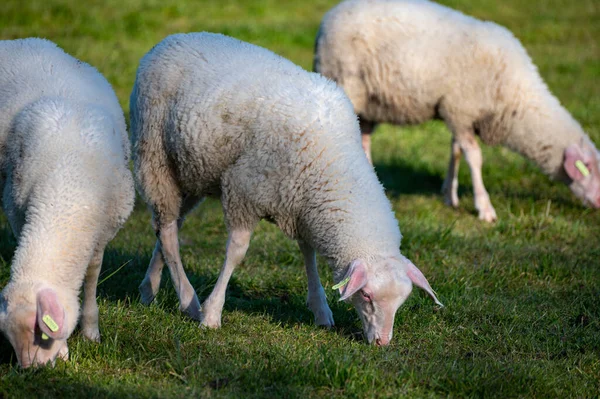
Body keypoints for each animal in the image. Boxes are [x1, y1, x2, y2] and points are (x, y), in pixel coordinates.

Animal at [0, 38, 135, 368]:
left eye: (41, 332)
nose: (31, 371)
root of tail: (16, 40)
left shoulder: (103, 229)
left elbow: (92, 275)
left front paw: (91, 330)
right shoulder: (17, 209)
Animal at [130, 32, 440, 346]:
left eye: (401, 301)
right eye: (365, 295)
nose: (382, 343)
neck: (334, 160)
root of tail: (173, 39)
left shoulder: (302, 204)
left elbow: (308, 252)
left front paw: (320, 310)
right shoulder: (244, 190)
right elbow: (236, 253)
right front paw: (212, 314)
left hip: (193, 171)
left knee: (167, 225)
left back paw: (149, 288)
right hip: (155, 157)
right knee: (168, 232)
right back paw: (188, 300)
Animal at [314, 0, 600, 222]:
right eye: (590, 170)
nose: (598, 204)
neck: (516, 96)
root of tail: (327, 18)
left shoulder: (457, 114)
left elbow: (456, 152)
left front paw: (449, 196)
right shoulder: (461, 109)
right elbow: (474, 157)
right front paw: (484, 208)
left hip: (369, 103)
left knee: (364, 139)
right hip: (345, 82)